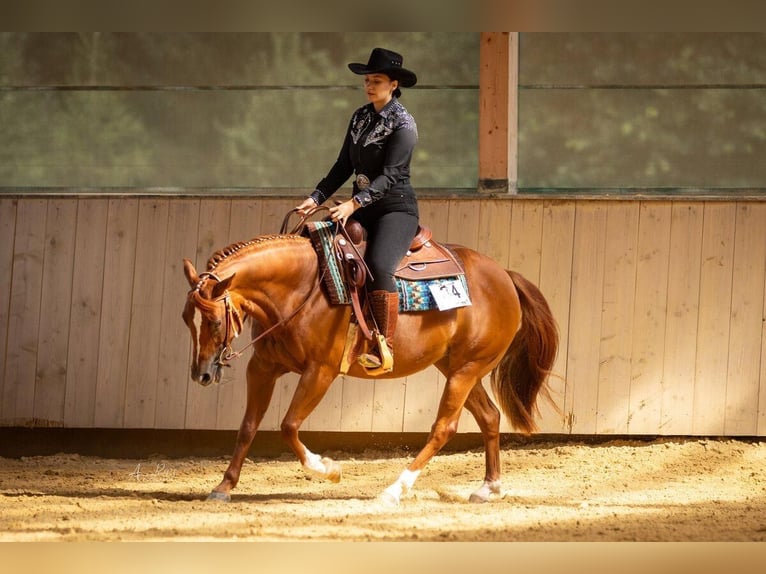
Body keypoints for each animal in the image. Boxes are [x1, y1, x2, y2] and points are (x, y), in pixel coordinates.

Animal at [183, 215, 560, 504]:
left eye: (214, 321)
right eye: (187, 319)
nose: (201, 375)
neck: (304, 286)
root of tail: (505, 276)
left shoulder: (320, 372)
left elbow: (288, 425)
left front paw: (329, 470)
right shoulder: (262, 367)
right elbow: (247, 426)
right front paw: (224, 486)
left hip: (466, 371)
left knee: (444, 427)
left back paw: (395, 489)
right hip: (458, 367)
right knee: (489, 417)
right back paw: (488, 488)